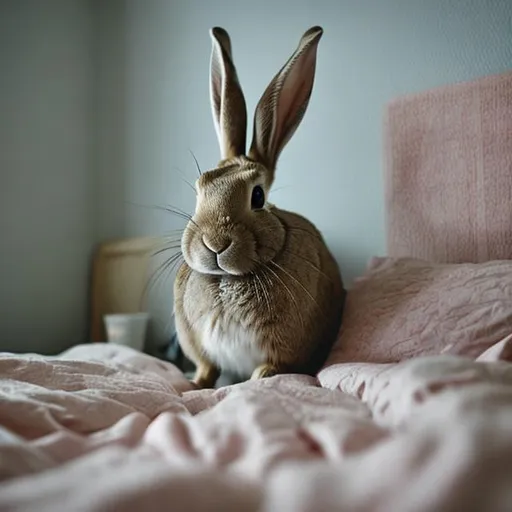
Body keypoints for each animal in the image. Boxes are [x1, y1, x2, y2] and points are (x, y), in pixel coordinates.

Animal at [174, 26, 346, 386]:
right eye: (199, 189)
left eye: (257, 197)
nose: (215, 243)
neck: (230, 279)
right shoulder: (202, 350)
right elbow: (207, 370)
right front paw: (193, 385)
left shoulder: (282, 352)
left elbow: (269, 369)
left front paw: (256, 380)